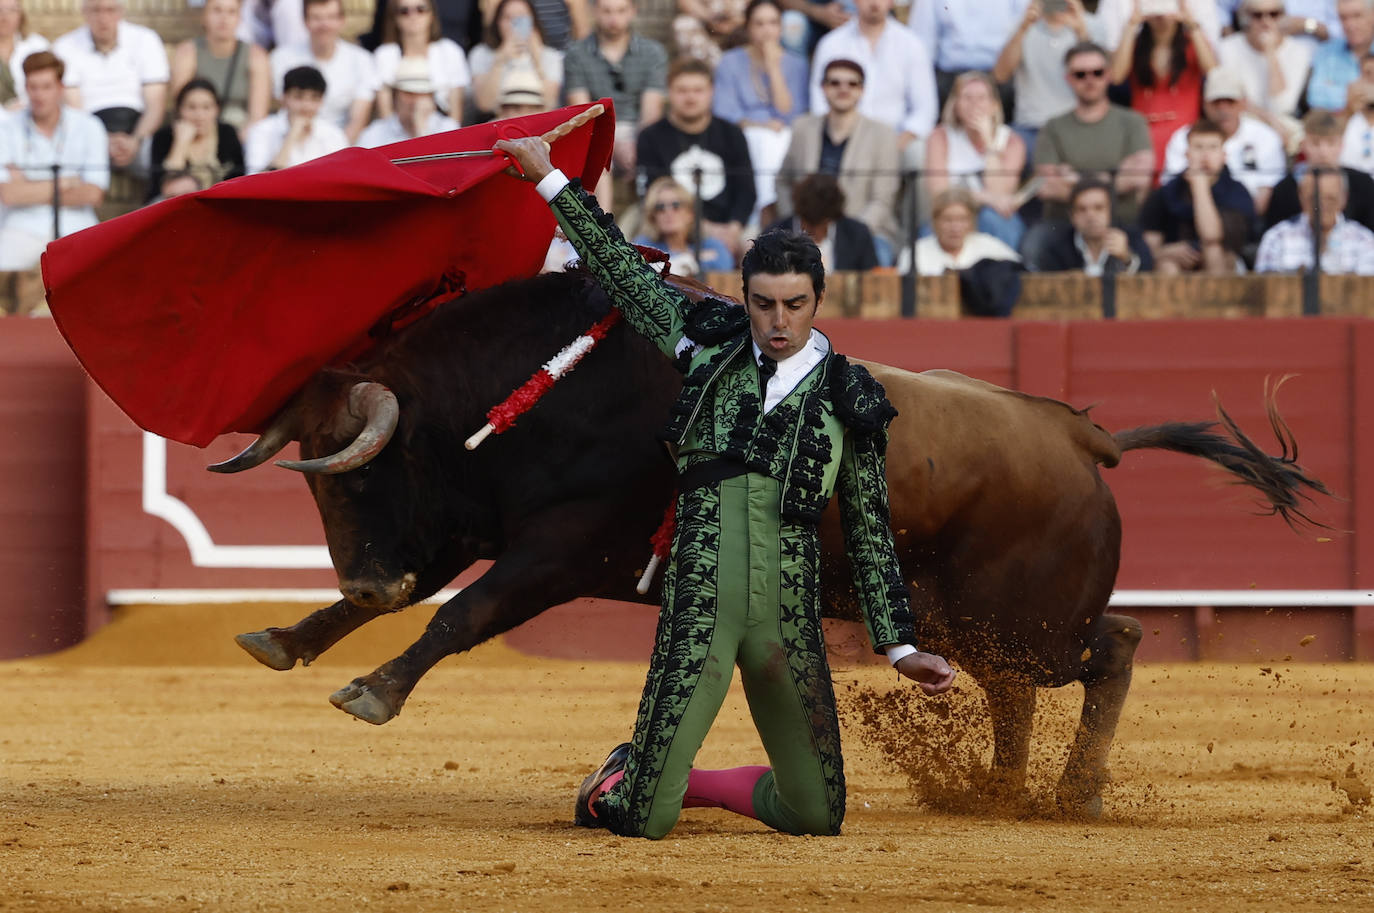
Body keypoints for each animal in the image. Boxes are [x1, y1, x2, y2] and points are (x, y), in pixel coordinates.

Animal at [208, 268, 1324, 814]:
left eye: (363, 470)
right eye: (314, 471)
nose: (366, 570)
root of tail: (1081, 433)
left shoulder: (555, 549)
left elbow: (464, 612)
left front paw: (372, 691)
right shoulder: (471, 525)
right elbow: (414, 596)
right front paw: (289, 639)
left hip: (1024, 621)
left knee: (1111, 650)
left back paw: (1070, 792)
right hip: (975, 625)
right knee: (1030, 685)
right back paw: (1009, 792)